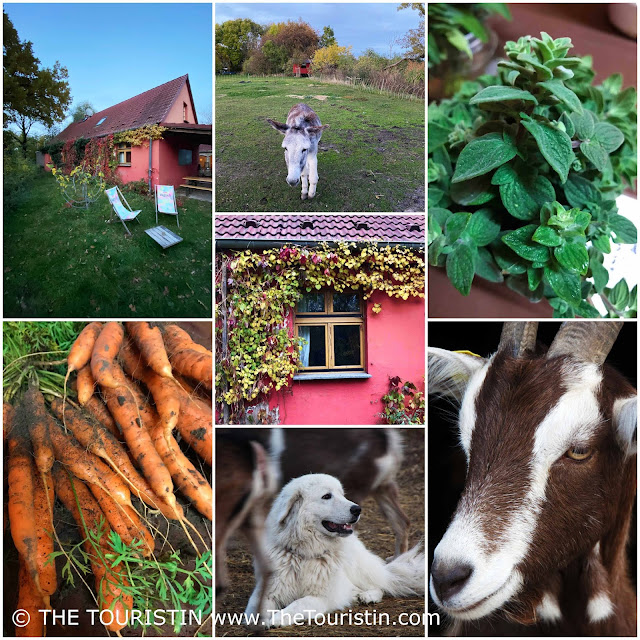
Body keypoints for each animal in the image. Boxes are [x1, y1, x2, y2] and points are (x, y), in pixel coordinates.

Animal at [242, 472, 422, 628]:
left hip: (358, 569)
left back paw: (368, 596)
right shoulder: (269, 589)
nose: (357, 509)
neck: (304, 554)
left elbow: (298, 604)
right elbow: (256, 606)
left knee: (380, 585)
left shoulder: (321, 597)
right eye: (326, 496)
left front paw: (277, 619)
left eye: (342, 494)